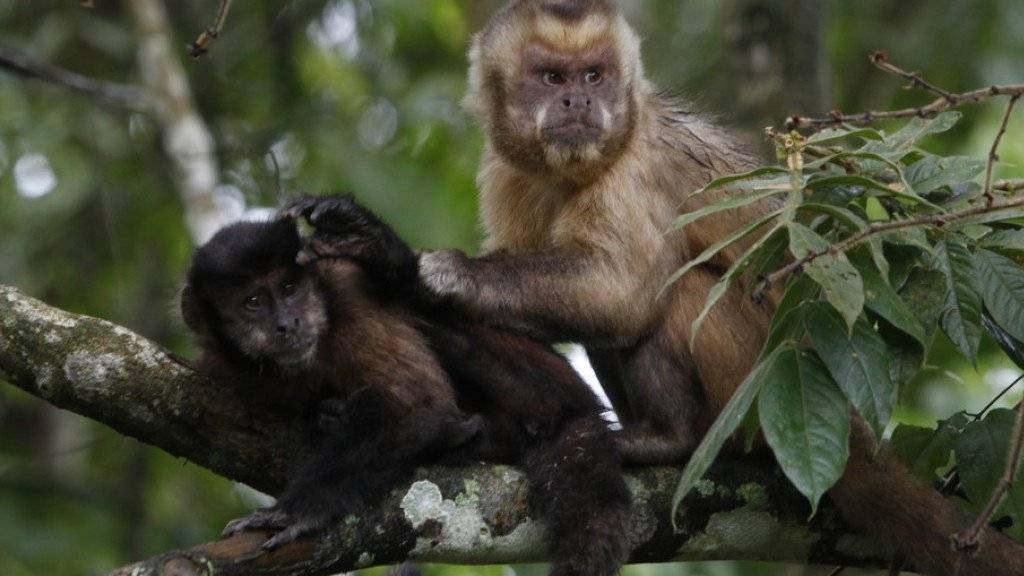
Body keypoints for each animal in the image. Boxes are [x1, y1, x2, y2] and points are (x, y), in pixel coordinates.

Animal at [184, 194, 630, 569]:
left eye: (290, 288)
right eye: (254, 302)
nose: (287, 322)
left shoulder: (347, 295)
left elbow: (417, 406)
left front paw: (296, 512)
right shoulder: (218, 366)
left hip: (543, 384)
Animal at [413, 1, 1024, 573]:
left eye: (592, 76)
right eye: (551, 78)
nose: (579, 103)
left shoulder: (634, 167)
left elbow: (621, 295)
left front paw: (455, 274)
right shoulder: (503, 170)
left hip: (756, 391)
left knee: (674, 296)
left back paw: (666, 437)